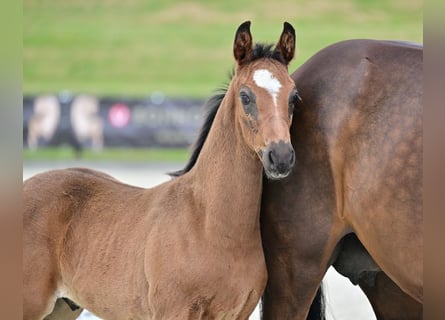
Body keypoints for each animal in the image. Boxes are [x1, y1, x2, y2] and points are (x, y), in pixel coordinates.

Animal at [21, 21, 298, 318]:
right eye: (245, 96)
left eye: (294, 96)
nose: (281, 156)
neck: (210, 224)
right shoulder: (174, 309)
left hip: (62, 306)